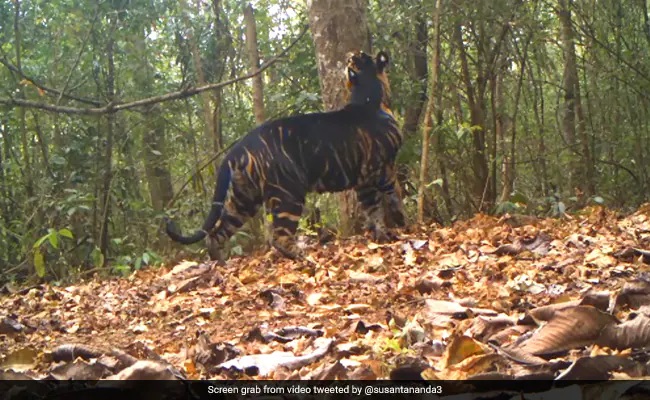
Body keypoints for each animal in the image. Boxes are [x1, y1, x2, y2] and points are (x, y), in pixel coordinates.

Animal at [165, 51, 405, 261]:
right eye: (361, 56)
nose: (349, 54)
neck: (369, 96)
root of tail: (238, 147)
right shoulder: (382, 169)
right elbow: (392, 197)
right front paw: (401, 226)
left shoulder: (363, 180)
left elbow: (372, 209)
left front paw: (380, 234)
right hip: (289, 193)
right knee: (278, 237)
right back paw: (305, 258)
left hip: (244, 198)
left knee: (216, 233)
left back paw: (221, 264)